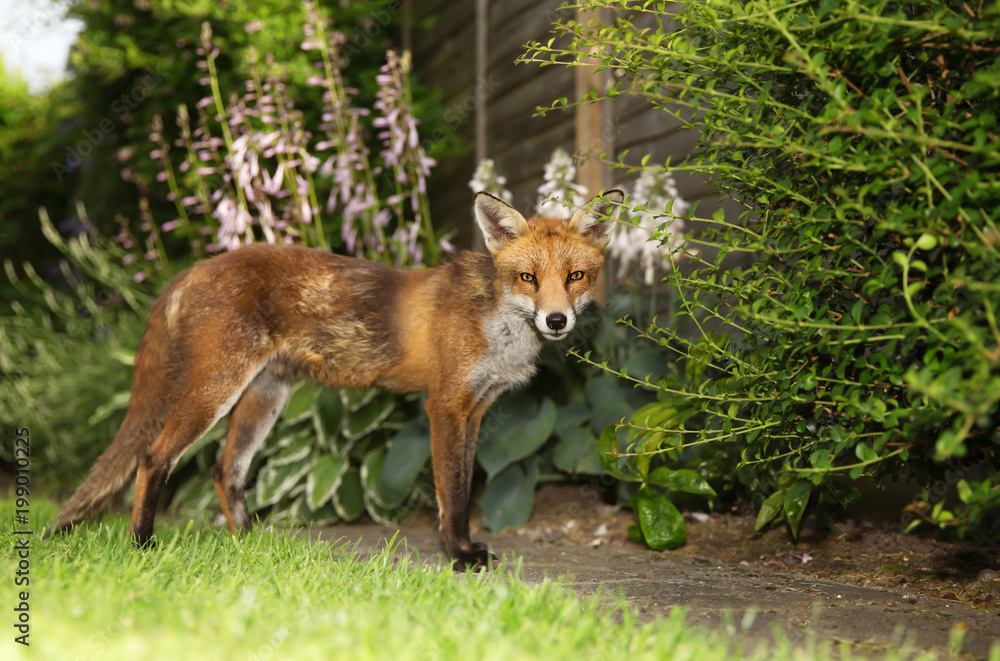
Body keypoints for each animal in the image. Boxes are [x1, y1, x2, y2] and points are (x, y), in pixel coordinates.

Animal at [50, 187, 624, 568]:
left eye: (576, 276)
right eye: (527, 277)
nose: (557, 321)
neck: (496, 321)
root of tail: (194, 268)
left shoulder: (476, 410)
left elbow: (462, 488)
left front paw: (462, 549)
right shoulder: (444, 406)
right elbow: (453, 494)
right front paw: (459, 557)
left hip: (263, 400)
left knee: (225, 469)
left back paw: (248, 545)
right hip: (214, 391)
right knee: (153, 458)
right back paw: (142, 545)